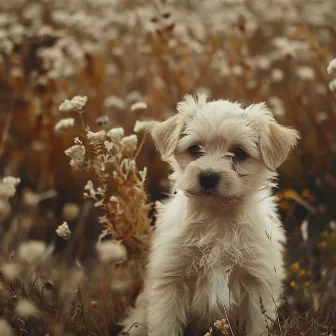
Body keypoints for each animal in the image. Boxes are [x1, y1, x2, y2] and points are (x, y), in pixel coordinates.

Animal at [121, 94, 300, 336]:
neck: (217, 218)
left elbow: (257, 325)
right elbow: (164, 326)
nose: (208, 177)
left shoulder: (257, 284)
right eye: (195, 149)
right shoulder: (170, 282)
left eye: (239, 153)